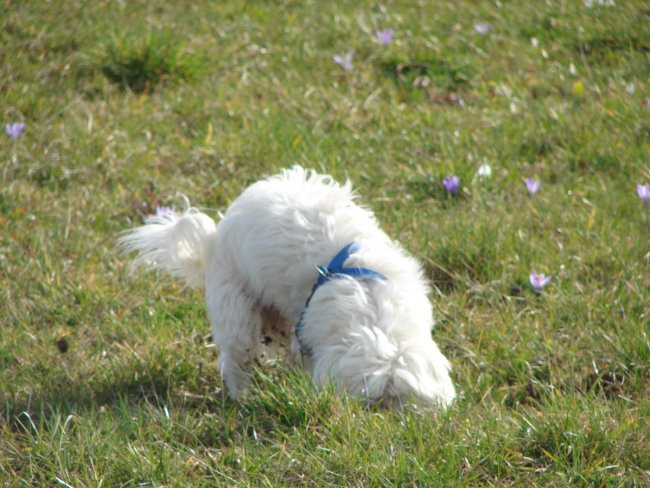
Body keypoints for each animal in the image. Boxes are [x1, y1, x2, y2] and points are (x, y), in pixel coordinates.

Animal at [121, 166, 456, 406]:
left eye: (400, 400)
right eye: (374, 400)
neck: (369, 296)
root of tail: (213, 239)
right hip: (236, 310)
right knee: (236, 358)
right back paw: (241, 396)